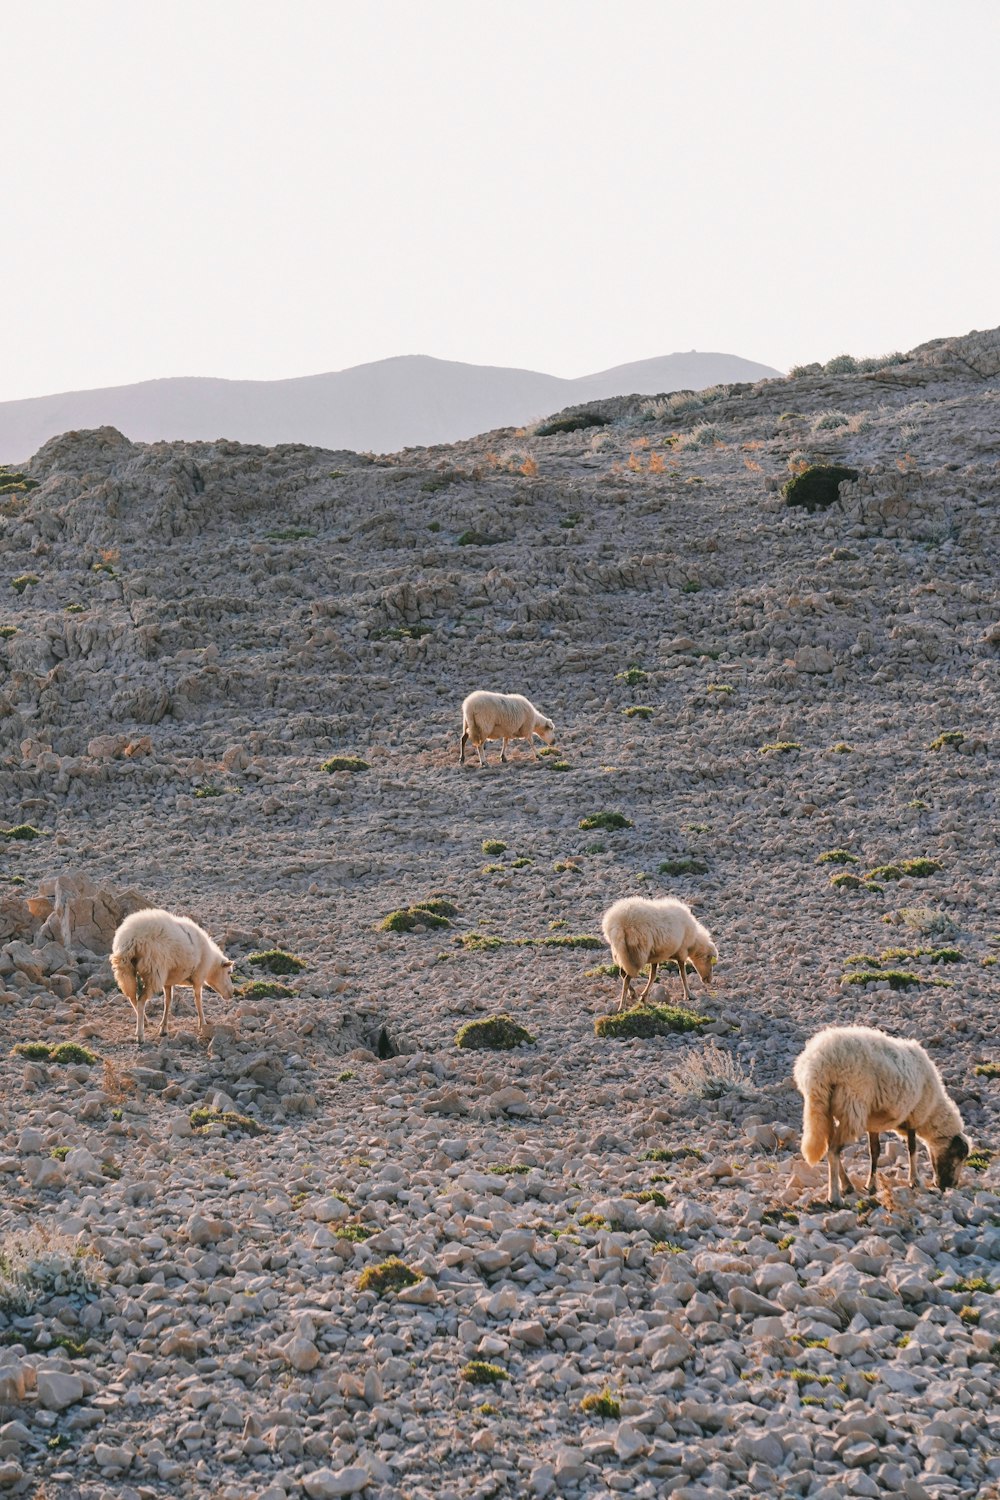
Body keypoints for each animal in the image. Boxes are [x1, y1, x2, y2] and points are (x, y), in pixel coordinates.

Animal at [110, 906, 235, 1050]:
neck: (210, 965)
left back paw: (144, 1022)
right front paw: (203, 1024)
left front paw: (163, 1028)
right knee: (140, 1001)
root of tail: (131, 937)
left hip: (125, 969)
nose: (232, 994)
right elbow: (198, 1001)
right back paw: (140, 1035)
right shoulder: (198, 977)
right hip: (154, 971)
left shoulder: (168, 982)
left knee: (132, 998)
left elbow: (168, 1002)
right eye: (229, 972)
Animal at [791, 1020, 971, 1206]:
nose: (950, 1185)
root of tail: (819, 1064)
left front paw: (871, 1185)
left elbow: (875, 1151)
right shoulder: (914, 1114)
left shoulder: (874, 1123)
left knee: (830, 1146)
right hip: (852, 1106)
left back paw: (847, 1185)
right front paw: (915, 1180)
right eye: (958, 1155)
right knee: (833, 1150)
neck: (932, 1112)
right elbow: (912, 1149)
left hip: (824, 1108)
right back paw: (834, 1196)